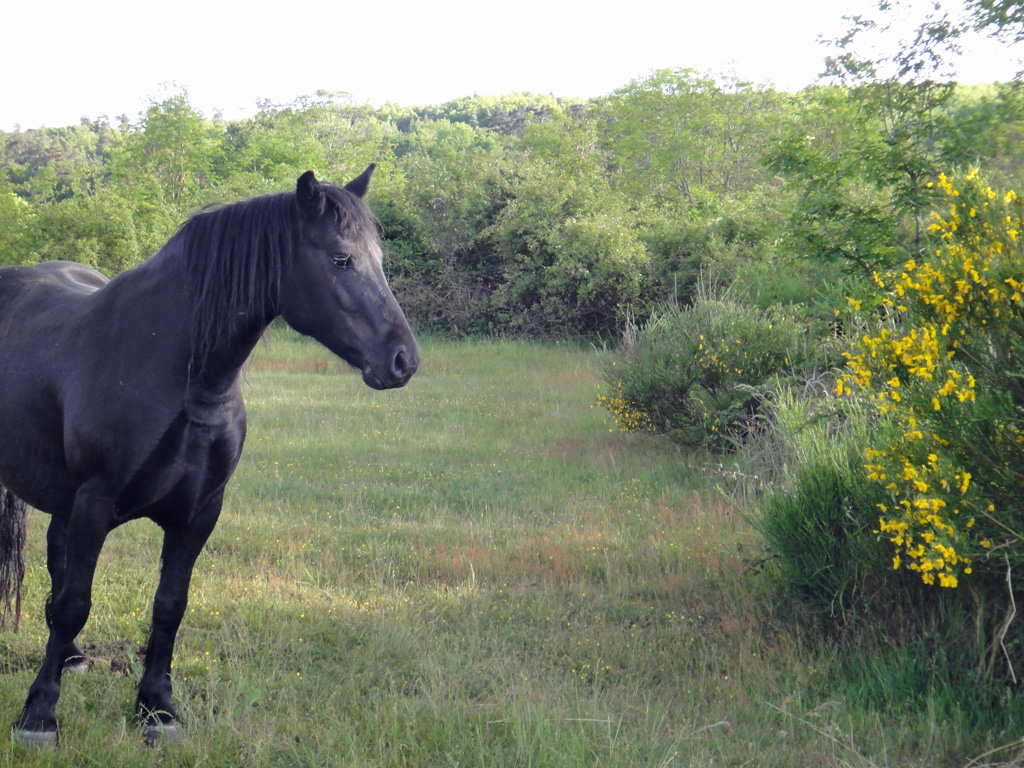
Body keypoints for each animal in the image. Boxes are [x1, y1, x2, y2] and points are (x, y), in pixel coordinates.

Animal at [0, 166, 419, 745]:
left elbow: (168, 606)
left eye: (379, 257)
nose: (404, 360)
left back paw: (74, 658)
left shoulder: (199, 512)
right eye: (340, 259)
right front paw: (39, 713)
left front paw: (157, 709)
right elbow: (73, 604)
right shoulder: (93, 503)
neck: (172, 370)